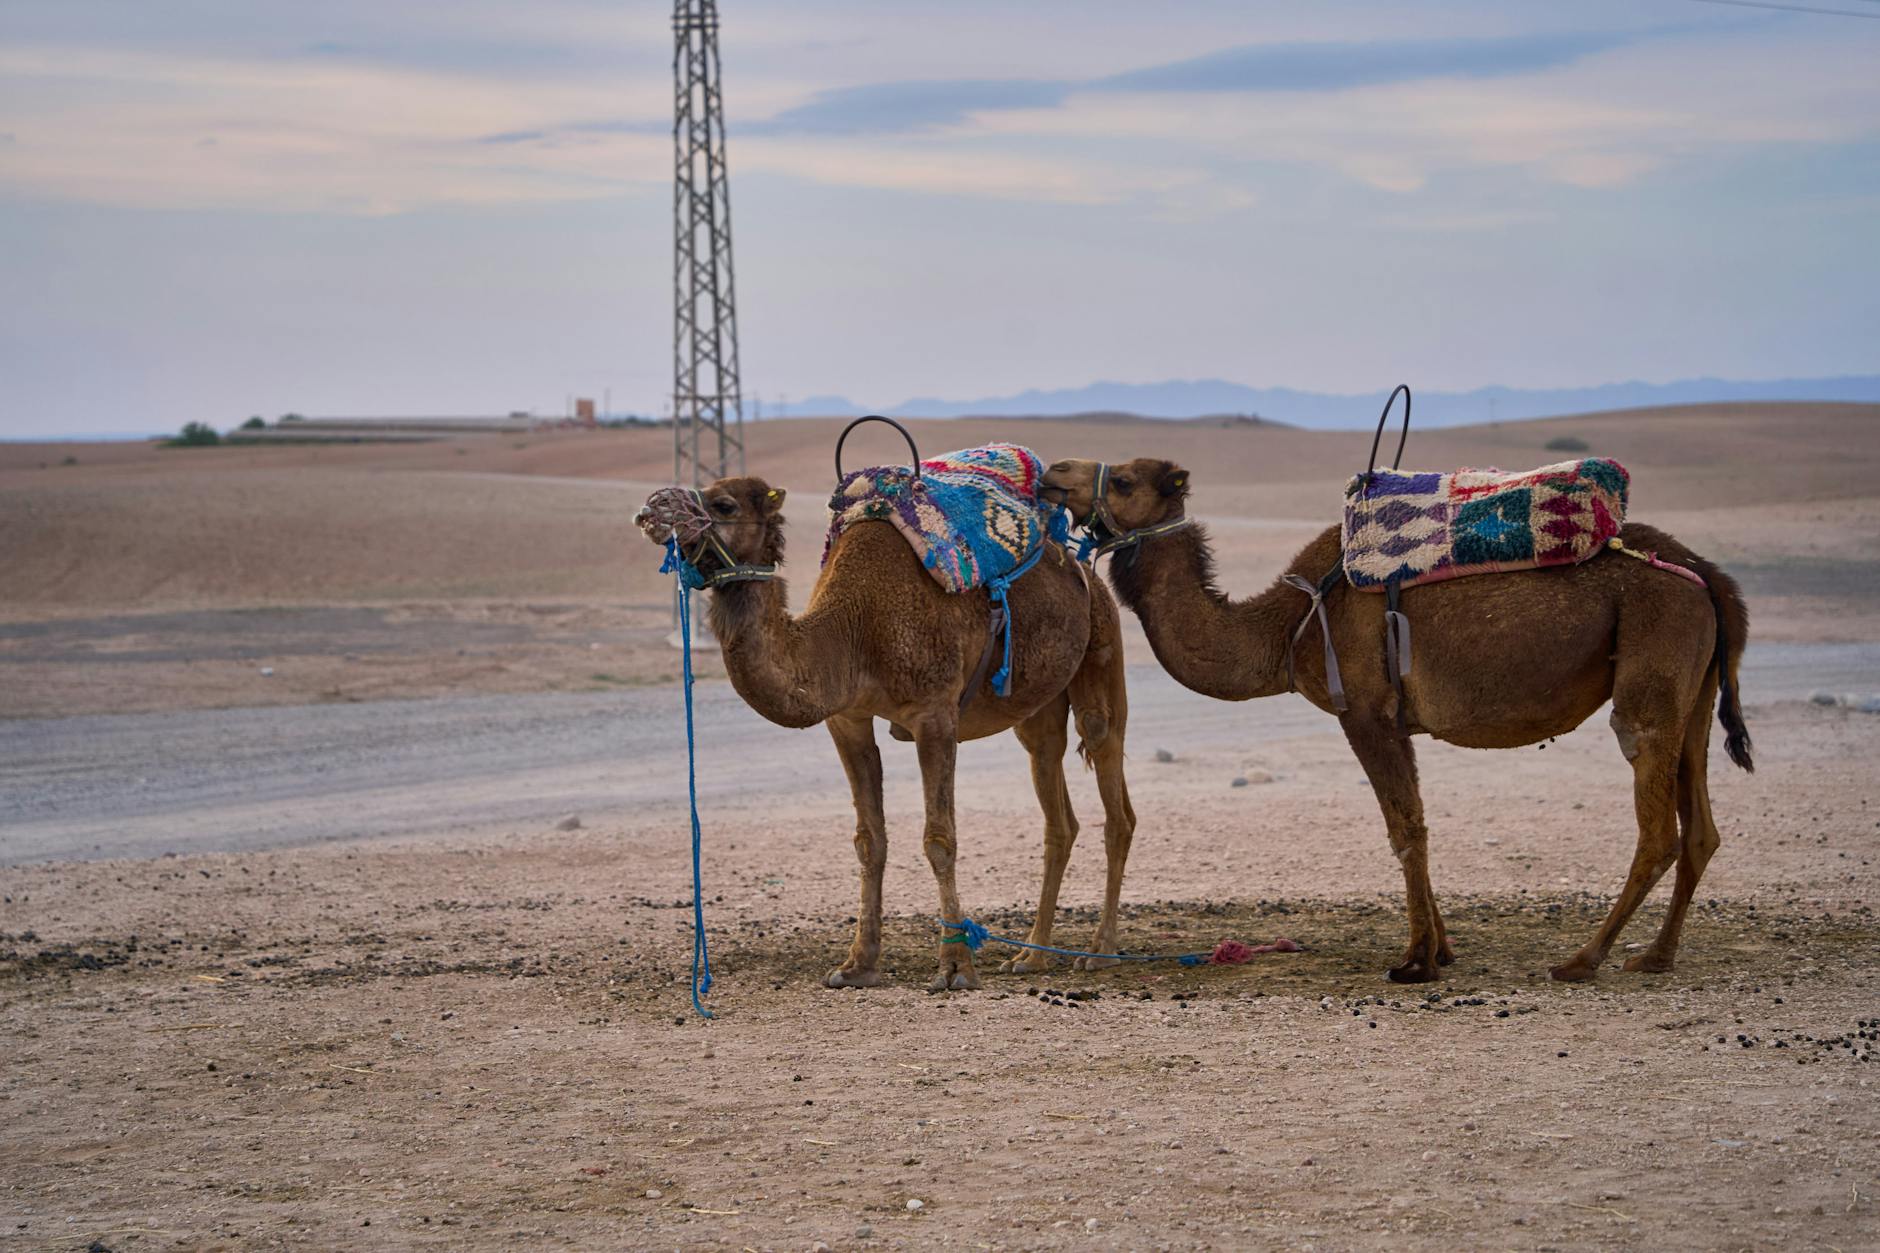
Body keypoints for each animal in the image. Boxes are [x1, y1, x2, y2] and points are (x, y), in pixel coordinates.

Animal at [635, 475, 1137, 992]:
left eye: (724, 504)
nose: (652, 508)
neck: (853, 630)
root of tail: (1080, 567)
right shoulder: (847, 719)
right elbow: (869, 840)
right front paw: (858, 964)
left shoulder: (935, 714)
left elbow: (940, 839)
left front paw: (955, 966)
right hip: (1036, 707)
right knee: (1057, 807)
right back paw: (1033, 955)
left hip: (1103, 645)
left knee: (1113, 792)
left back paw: (1100, 950)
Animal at [1040, 457, 1752, 984]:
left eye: (1123, 479)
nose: (1053, 472)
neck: (1286, 626)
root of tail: (1709, 577)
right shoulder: (1399, 722)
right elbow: (1418, 822)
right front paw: (1441, 949)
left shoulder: (1364, 712)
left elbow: (1402, 828)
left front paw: (1414, 962)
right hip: (1694, 689)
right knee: (1700, 825)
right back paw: (1655, 955)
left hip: (1653, 662)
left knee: (1656, 819)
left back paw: (1583, 959)